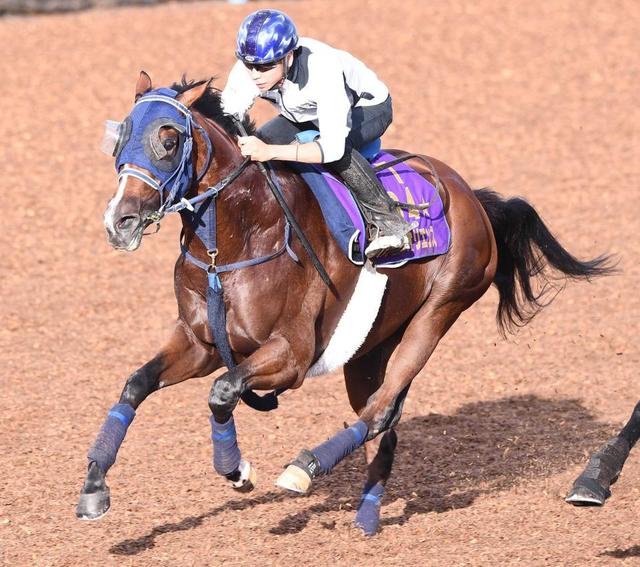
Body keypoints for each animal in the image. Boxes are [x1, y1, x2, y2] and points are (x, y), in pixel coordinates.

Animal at [77, 72, 612, 535]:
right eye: (121, 138)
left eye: (169, 140)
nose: (120, 222)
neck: (233, 240)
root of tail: (469, 195)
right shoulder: (201, 343)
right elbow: (136, 385)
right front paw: (94, 488)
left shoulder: (291, 355)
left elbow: (223, 391)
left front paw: (236, 469)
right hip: (368, 348)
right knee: (383, 418)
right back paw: (368, 515)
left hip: (439, 311)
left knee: (379, 411)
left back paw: (305, 468)